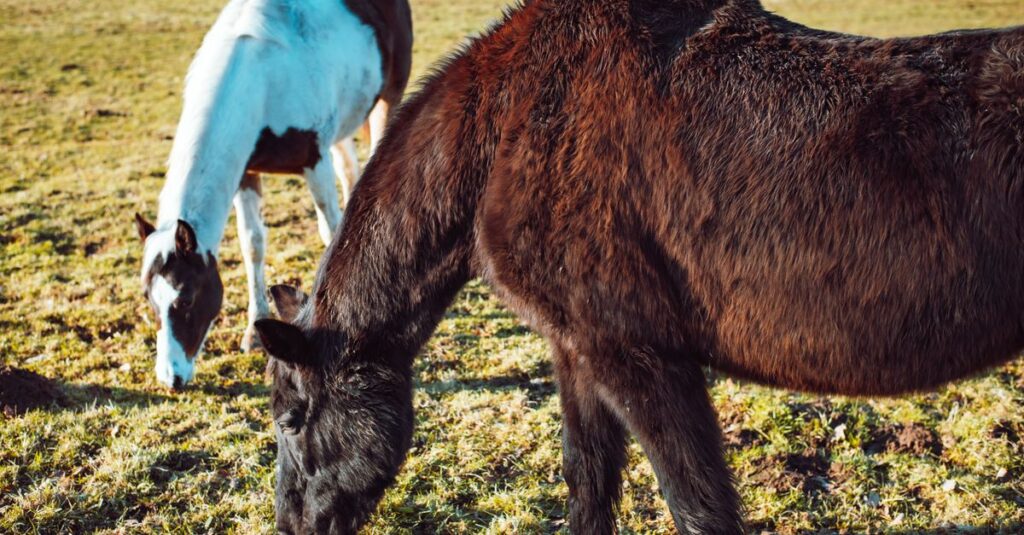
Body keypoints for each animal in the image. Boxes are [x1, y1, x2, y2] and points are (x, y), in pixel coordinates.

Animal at [133, 0, 412, 389]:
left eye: (186, 299)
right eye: (150, 300)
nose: (170, 377)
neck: (259, 81)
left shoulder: (313, 161)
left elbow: (331, 233)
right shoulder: (246, 173)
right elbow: (252, 244)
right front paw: (253, 329)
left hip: (389, 96)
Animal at [254, 0, 1024, 532]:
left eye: (291, 419)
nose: (291, 524)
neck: (508, 129)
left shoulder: (639, 355)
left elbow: (698, 506)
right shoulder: (576, 350)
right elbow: (588, 482)